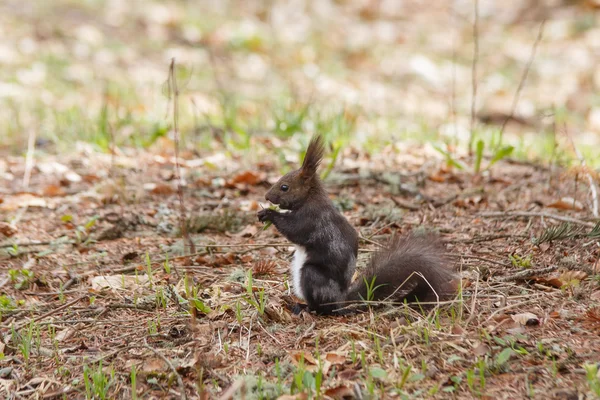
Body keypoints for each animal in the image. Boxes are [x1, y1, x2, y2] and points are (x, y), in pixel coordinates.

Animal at [258, 135, 454, 316]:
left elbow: (295, 230)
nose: (267, 196)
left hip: (312, 276)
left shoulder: (313, 219)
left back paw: (306, 308)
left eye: (284, 187)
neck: (310, 198)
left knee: (323, 308)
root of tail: (340, 300)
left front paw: (268, 214)